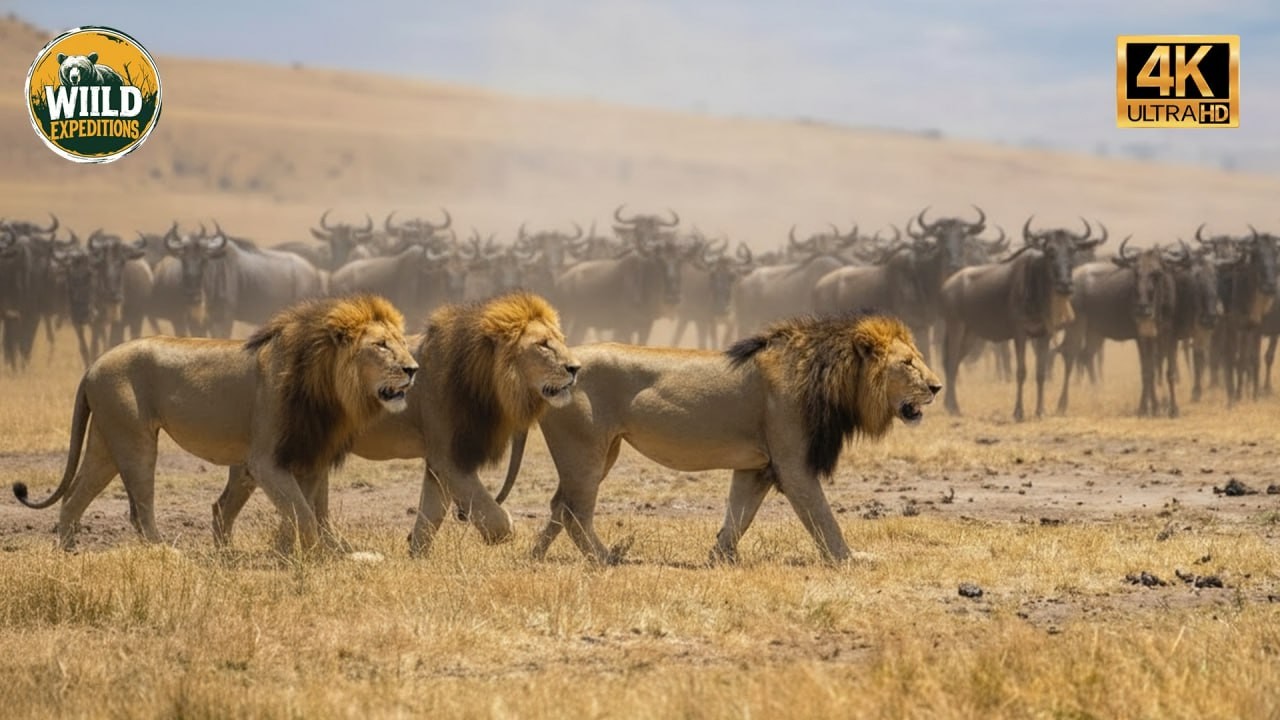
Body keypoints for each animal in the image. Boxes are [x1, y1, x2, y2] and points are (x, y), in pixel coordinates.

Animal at [12, 294, 418, 554]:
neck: (329, 388)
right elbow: (303, 513)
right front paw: (317, 558)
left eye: (401, 342)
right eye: (381, 345)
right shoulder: (266, 461)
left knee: (74, 496)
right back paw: (165, 553)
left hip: (105, 442)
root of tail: (93, 365)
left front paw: (307, 554)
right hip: (134, 440)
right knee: (139, 507)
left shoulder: (311, 454)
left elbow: (310, 511)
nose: (413, 369)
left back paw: (67, 552)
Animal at [210, 291, 581, 556]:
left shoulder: (438, 460)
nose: (576, 368)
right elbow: (498, 521)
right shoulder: (449, 455)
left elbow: (431, 512)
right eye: (543, 345)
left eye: (561, 340)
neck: (487, 380)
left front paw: (416, 552)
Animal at [498, 311, 942, 564]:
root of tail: (553, 374)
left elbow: (738, 515)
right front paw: (850, 559)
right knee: (575, 511)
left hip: (604, 451)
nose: (936, 387)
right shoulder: (793, 464)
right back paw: (608, 559)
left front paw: (720, 558)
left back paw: (536, 556)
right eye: (908, 363)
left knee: (560, 504)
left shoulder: (758, 467)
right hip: (586, 450)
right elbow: (823, 518)